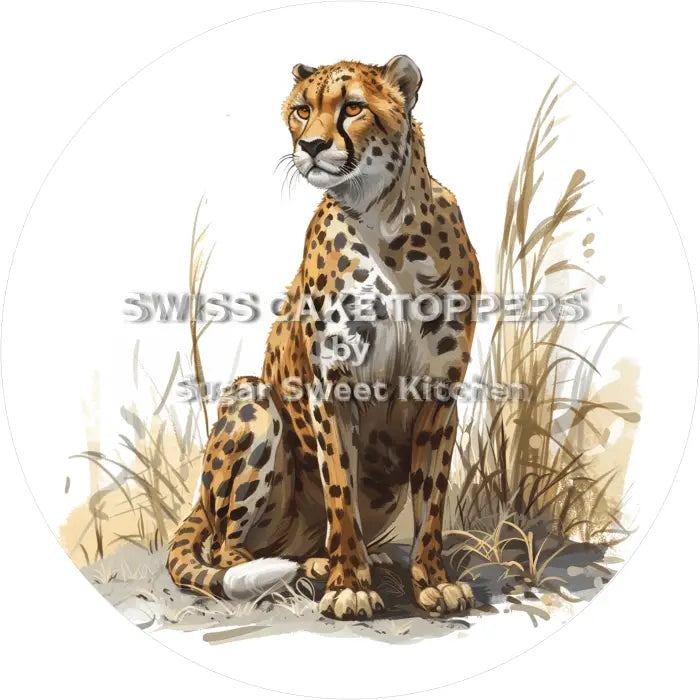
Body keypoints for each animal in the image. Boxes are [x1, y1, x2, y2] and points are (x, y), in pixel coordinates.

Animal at [167, 56, 481, 620]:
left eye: (353, 107)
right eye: (301, 110)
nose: (311, 145)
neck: (386, 228)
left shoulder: (440, 393)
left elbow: (432, 499)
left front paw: (431, 579)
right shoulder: (331, 387)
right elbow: (340, 488)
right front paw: (350, 584)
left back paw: (335, 560)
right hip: (251, 399)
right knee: (227, 549)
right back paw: (295, 568)